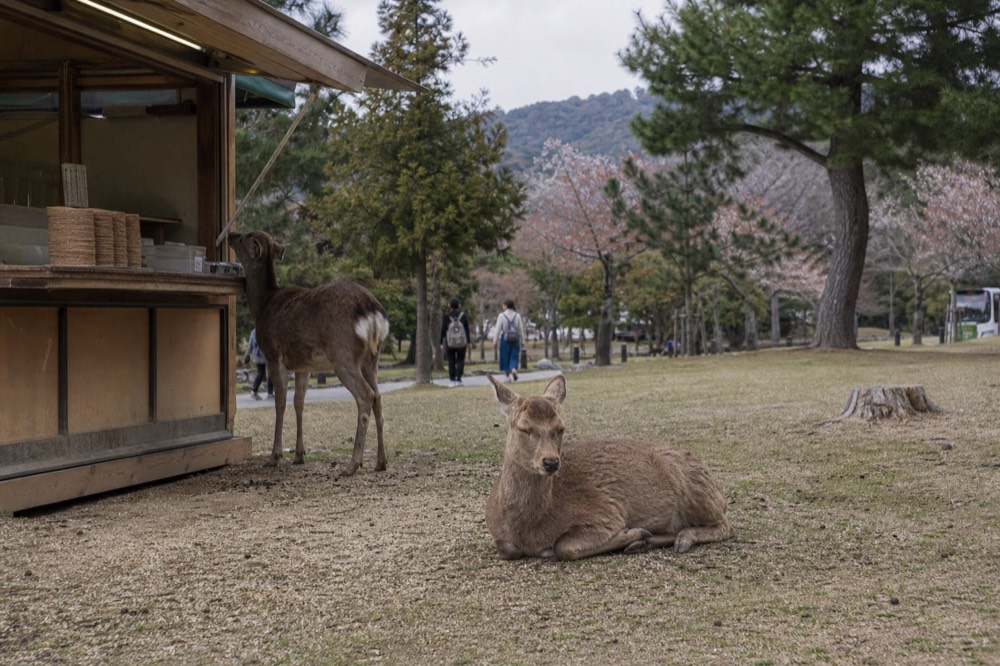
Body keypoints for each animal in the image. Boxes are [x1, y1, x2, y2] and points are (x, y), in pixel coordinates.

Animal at [229, 231, 389, 476]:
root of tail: (373, 313)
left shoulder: (274, 355)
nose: (230, 234)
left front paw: (274, 457)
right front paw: (298, 455)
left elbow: (280, 402)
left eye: (243, 238)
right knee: (378, 398)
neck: (263, 305)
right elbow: (299, 402)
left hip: (343, 355)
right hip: (372, 359)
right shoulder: (304, 366)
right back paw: (381, 461)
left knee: (366, 395)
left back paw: (352, 464)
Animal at [485, 374, 734, 561]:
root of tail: (719, 493)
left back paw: (678, 539)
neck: (528, 530)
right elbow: (507, 549)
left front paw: (631, 533)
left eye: (561, 427)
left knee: (726, 526)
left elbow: (563, 547)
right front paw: (637, 536)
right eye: (523, 428)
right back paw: (645, 542)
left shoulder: (605, 514)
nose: (551, 462)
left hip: (697, 491)